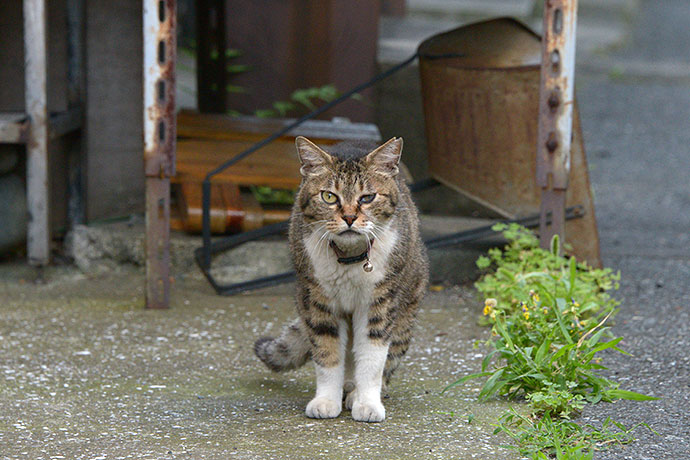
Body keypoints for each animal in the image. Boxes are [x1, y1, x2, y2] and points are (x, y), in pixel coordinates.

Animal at [254, 136, 424, 420]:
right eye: (329, 196)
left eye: (368, 197)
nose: (349, 217)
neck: (349, 258)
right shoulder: (317, 300)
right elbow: (327, 353)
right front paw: (325, 401)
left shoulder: (380, 302)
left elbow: (372, 358)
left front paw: (367, 403)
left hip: (405, 314)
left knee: (388, 356)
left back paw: (356, 392)